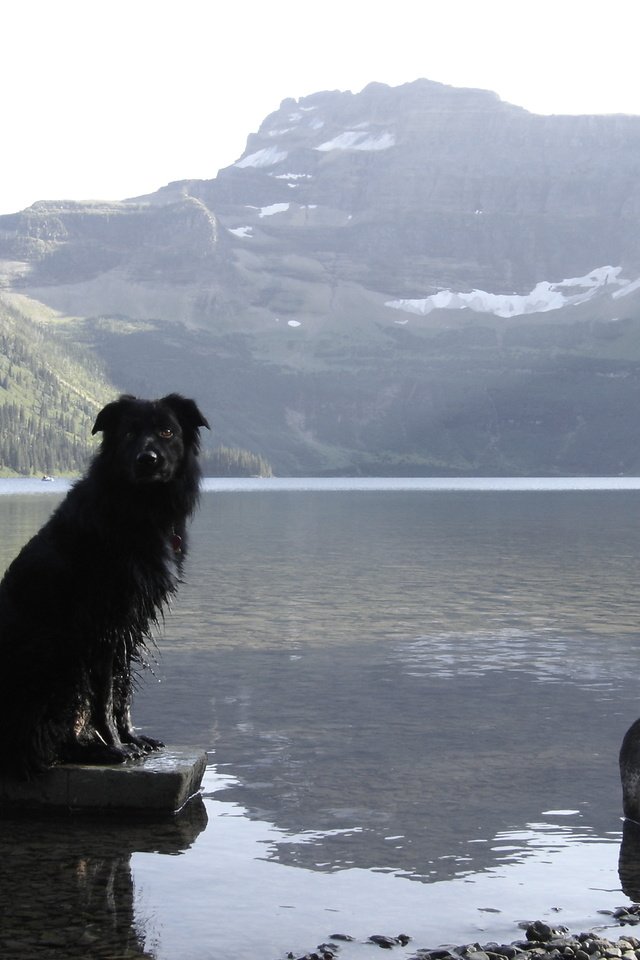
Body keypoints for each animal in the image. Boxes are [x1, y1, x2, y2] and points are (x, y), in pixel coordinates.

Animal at [0, 394, 210, 776]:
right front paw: (115, 746)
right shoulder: (102, 625)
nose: (148, 459)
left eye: (167, 431)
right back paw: (89, 750)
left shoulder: (133, 623)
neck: (140, 507)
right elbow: (104, 696)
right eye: (129, 433)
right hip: (57, 658)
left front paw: (132, 738)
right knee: (37, 742)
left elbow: (122, 689)